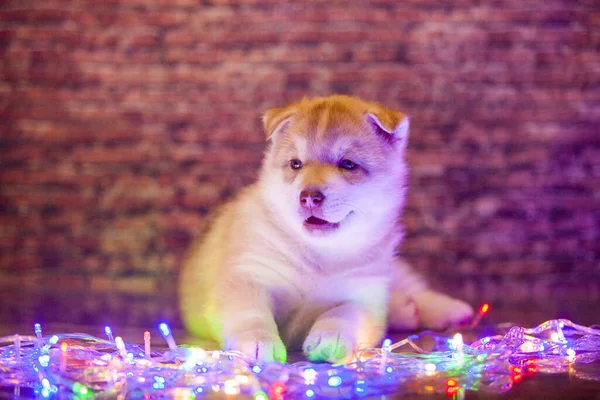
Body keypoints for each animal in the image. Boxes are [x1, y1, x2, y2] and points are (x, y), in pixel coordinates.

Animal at [178, 96, 474, 362]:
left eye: (348, 164)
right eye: (295, 164)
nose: (309, 196)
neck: (318, 254)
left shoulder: (362, 293)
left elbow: (340, 315)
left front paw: (331, 338)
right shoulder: (247, 277)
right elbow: (251, 315)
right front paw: (257, 343)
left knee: (416, 288)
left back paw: (447, 309)